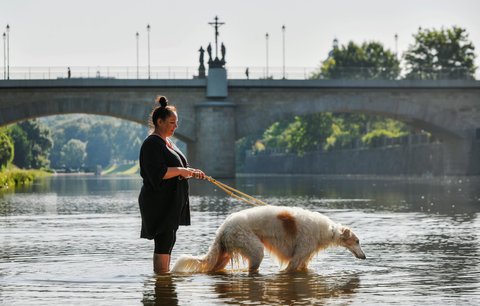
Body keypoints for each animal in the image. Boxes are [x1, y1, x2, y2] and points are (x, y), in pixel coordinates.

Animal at [171, 206, 366, 272]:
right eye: (357, 241)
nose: (364, 257)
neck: (326, 230)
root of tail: (223, 227)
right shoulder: (297, 257)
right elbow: (289, 269)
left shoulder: (303, 259)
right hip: (254, 248)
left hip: (224, 254)